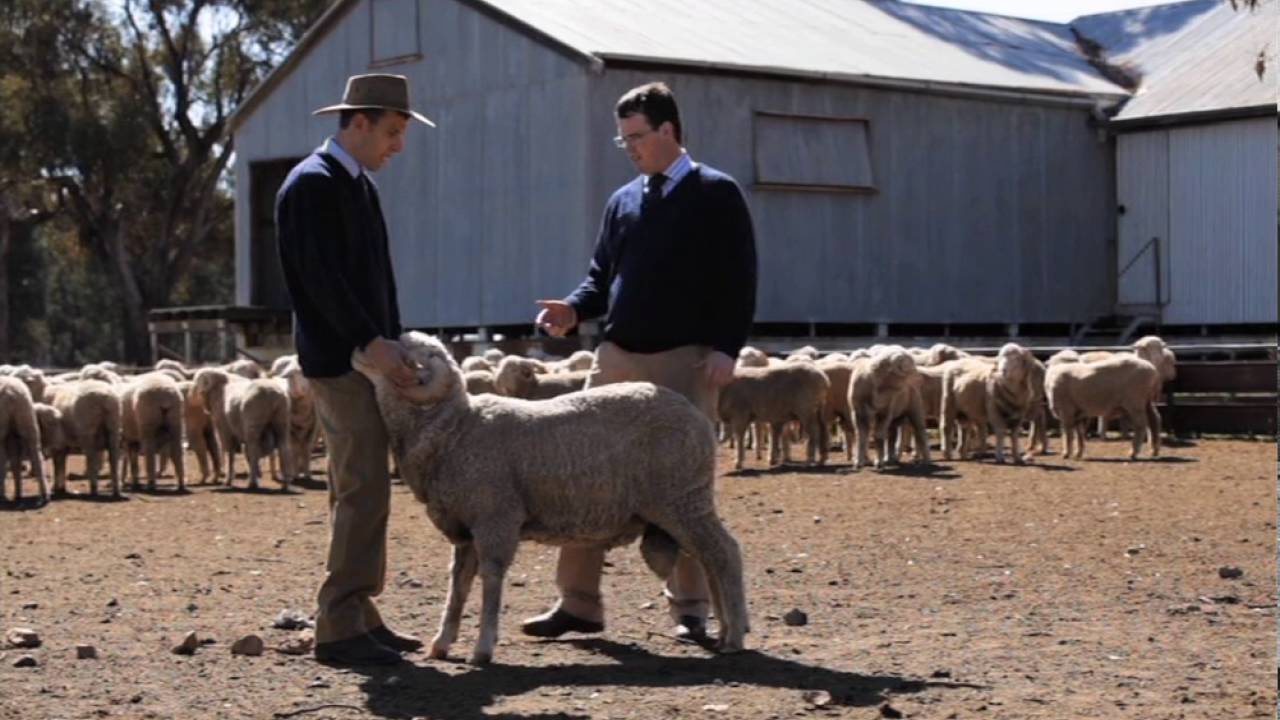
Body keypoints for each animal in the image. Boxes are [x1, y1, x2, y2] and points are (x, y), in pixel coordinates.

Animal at [353, 331, 748, 664]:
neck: (457, 427)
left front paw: (483, 648)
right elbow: (457, 586)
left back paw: (735, 635)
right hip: (682, 504)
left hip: (682, 499)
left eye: (406, 352)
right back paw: (724, 630)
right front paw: (442, 643)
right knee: (710, 559)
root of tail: (696, 415)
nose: (358, 348)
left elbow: (491, 581)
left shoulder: (496, 518)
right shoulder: (464, 529)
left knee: (725, 553)